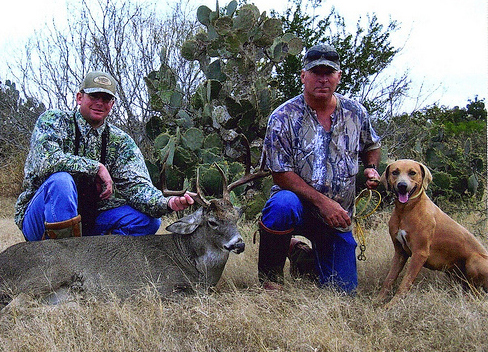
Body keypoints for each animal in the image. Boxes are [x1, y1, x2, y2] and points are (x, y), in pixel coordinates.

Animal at [378, 158, 488, 306]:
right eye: (395, 172)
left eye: (412, 172)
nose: (402, 185)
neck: (406, 210)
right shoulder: (400, 252)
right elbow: (388, 280)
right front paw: (378, 301)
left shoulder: (420, 253)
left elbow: (405, 283)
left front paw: (392, 305)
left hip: (474, 260)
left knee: (478, 293)